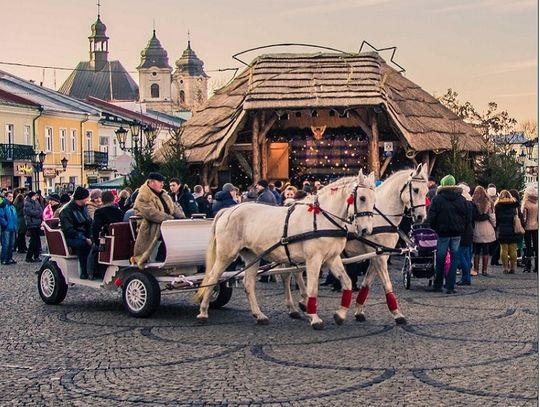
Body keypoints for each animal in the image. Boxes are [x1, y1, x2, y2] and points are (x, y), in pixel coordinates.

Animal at [194, 171, 376, 330]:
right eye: (362, 198)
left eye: (374, 200)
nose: (366, 230)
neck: (323, 218)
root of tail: (228, 210)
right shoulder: (314, 259)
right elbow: (312, 288)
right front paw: (315, 318)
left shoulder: (332, 258)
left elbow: (347, 282)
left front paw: (340, 314)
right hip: (226, 254)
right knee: (213, 277)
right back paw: (203, 312)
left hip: (252, 256)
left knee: (248, 284)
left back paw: (259, 315)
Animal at [284, 165, 428, 326]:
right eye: (416, 189)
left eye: (427, 191)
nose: (421, 217)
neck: (382, 216)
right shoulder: (379, 257)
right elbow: (387, 284)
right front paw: (397, 314)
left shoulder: (379, 254)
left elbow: (367, 283)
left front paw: (358, 311)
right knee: (287, 275)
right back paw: (295, 306)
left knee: (293, 273)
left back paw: (302, 302)